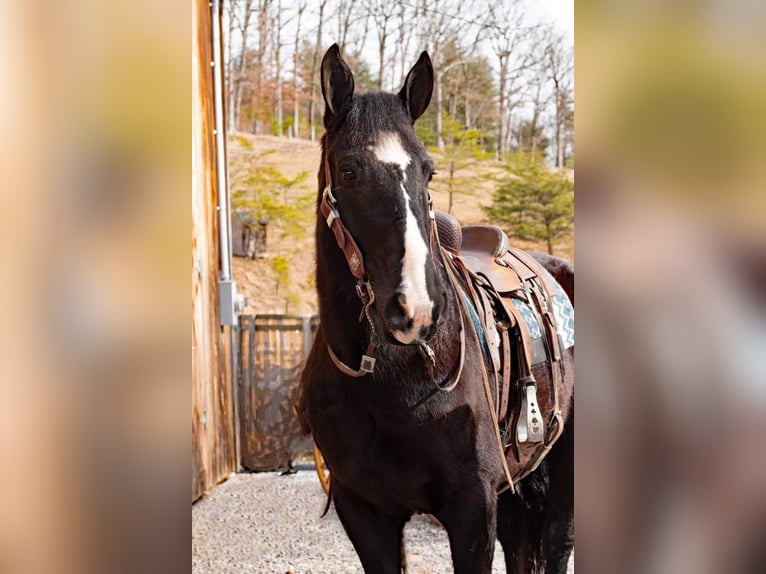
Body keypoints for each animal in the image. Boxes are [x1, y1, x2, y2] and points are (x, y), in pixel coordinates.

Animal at [296, 46, 572, 574]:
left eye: (428, 171)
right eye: (348, 170)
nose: (417, 308)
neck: (383, 375)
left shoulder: (472, 511)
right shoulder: (363, 511)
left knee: (556, 544)